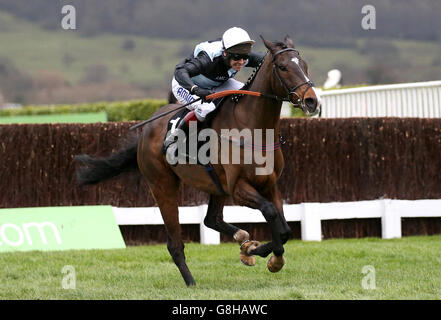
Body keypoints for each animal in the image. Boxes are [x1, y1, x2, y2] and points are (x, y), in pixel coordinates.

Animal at [74, 36, 318, 286]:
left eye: (305, 65)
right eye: (283, 67)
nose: (311, 101)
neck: (252, 127)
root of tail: (145, 131)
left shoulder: (269, 183)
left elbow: (285, 229)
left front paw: (261, 254)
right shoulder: (238, 188)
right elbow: (270, 212)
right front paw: (259, 253)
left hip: (216, 186)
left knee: (211, 219)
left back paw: (242, 239)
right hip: (162, 186)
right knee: (174, 243)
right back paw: (191, 281)